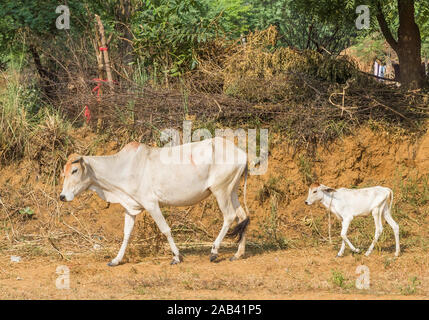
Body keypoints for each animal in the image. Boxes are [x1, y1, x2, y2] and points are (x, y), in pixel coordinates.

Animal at [58, 137, 249, 264]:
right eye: (64, 172)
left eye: (75, 170)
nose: (62, 196)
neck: (123, 167)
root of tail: (242, 154)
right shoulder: (130, 207)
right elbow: (126, 234)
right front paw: (116, 259)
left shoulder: (151, 204)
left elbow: (165, 229)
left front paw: (177, 257)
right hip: (231, 191)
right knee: (242, 217)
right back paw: (238, 254)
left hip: (220, 191)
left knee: (230, 217)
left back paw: (214, 251)